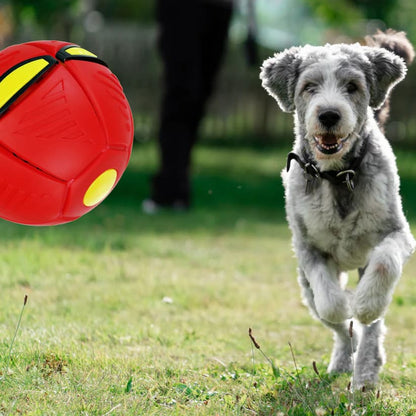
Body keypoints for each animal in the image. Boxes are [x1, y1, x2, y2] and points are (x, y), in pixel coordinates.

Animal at [262, 30, 414, 388]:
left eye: (352, 86)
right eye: (309, 86)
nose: (329, 114)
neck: (338, 175)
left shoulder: (398, 233)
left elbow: (385, 265)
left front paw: (365, 304)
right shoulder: (307, 248)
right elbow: (331, 303)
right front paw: (345, 303)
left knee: (372, 329)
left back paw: (366, 372)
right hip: (305, 289)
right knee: (340, 328)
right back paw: (345, 361)